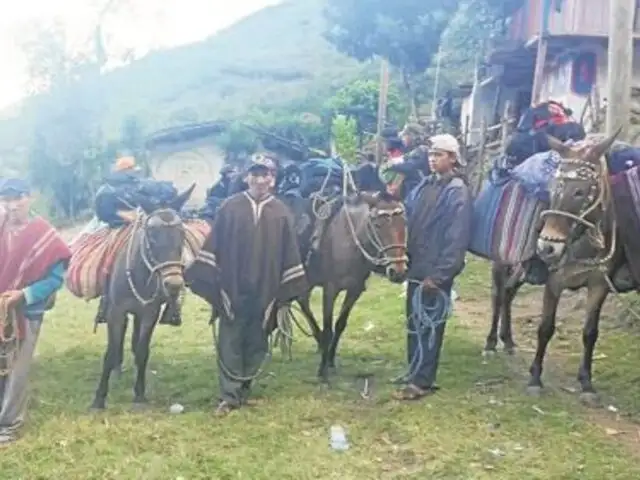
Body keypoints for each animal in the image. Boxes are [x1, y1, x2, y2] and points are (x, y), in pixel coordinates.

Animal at [90, 187, 194, 408]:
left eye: (182, 234)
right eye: (151, 236)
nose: (174, 284)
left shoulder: (149, 313)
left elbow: (142, 351)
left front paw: (139, 394)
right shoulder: (116, 312)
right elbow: (111, 351)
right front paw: (99, 398)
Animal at [290, 191, 404, 382]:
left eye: (404, 223)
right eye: (378, 225)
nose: (398, 271)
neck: (348, 241)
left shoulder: (354, 290)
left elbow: (340, 325)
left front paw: (330, 360)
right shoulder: (330, 289)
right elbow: (328, 329)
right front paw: (322, 371)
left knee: (303, 301)